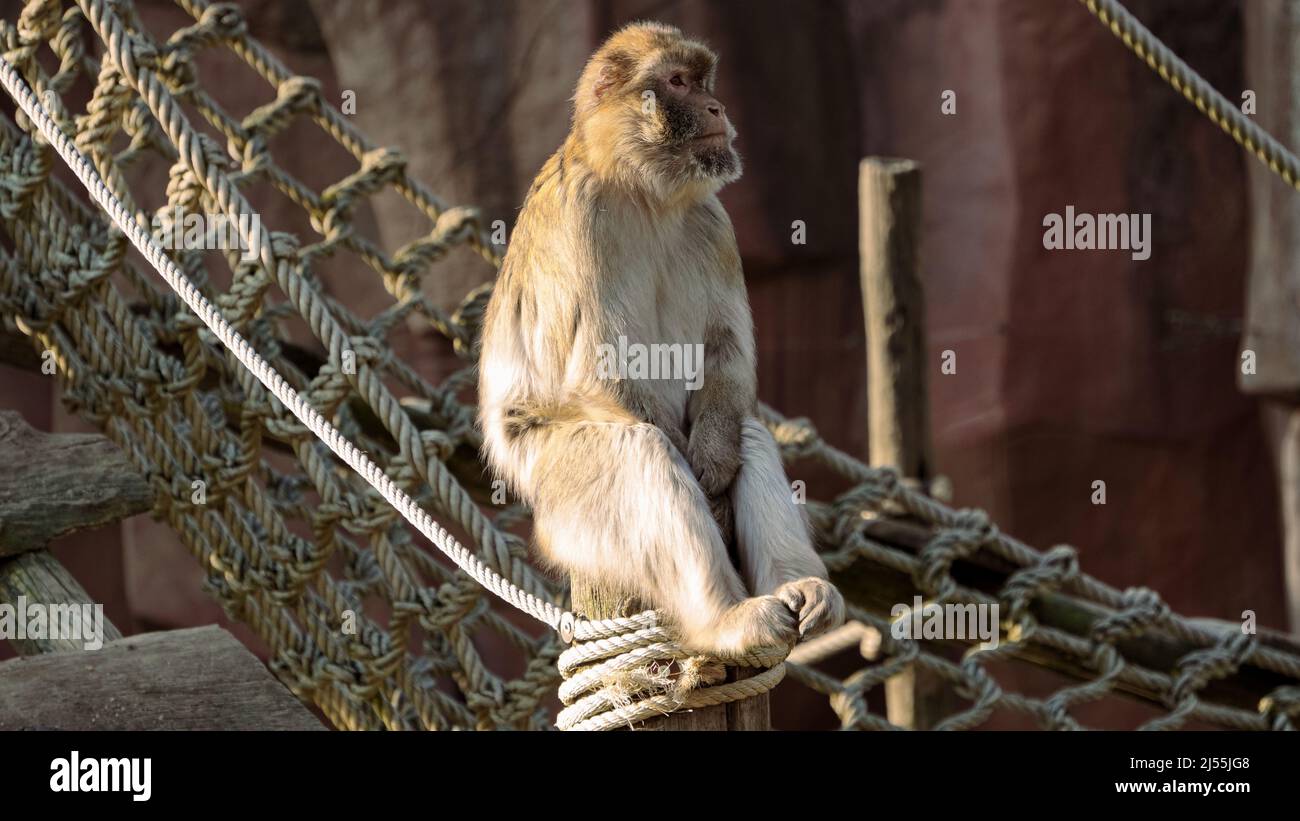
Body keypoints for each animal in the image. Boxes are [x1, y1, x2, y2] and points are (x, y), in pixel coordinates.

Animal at [478, 20, 842, 659]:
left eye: (704, 81)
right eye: (677, 82)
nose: (718, 107)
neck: (643, 188)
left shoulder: (714, 220)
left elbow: (726, 350)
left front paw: (714, 464)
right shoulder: (585, 214)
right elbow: (600, 368)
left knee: (745, 426)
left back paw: (802, 588)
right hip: (558, 492)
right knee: (640, 447)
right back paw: (727, 618)